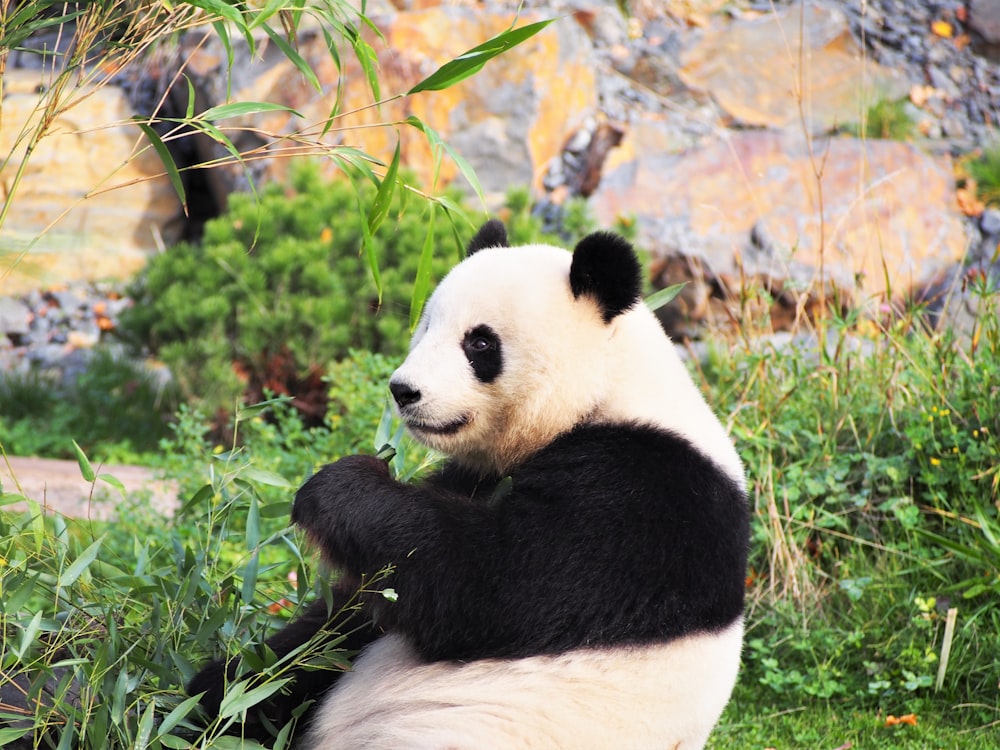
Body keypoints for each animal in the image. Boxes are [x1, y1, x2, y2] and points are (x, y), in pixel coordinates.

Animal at [189, 222, 752, 750]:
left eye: (480, 342)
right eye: (426, 324)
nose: (403, 390)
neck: (607, 391)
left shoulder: (647, 495)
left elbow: (493, 581)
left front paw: (339, 486)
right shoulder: (479, 475)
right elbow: (344, 621)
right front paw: (226, 686)